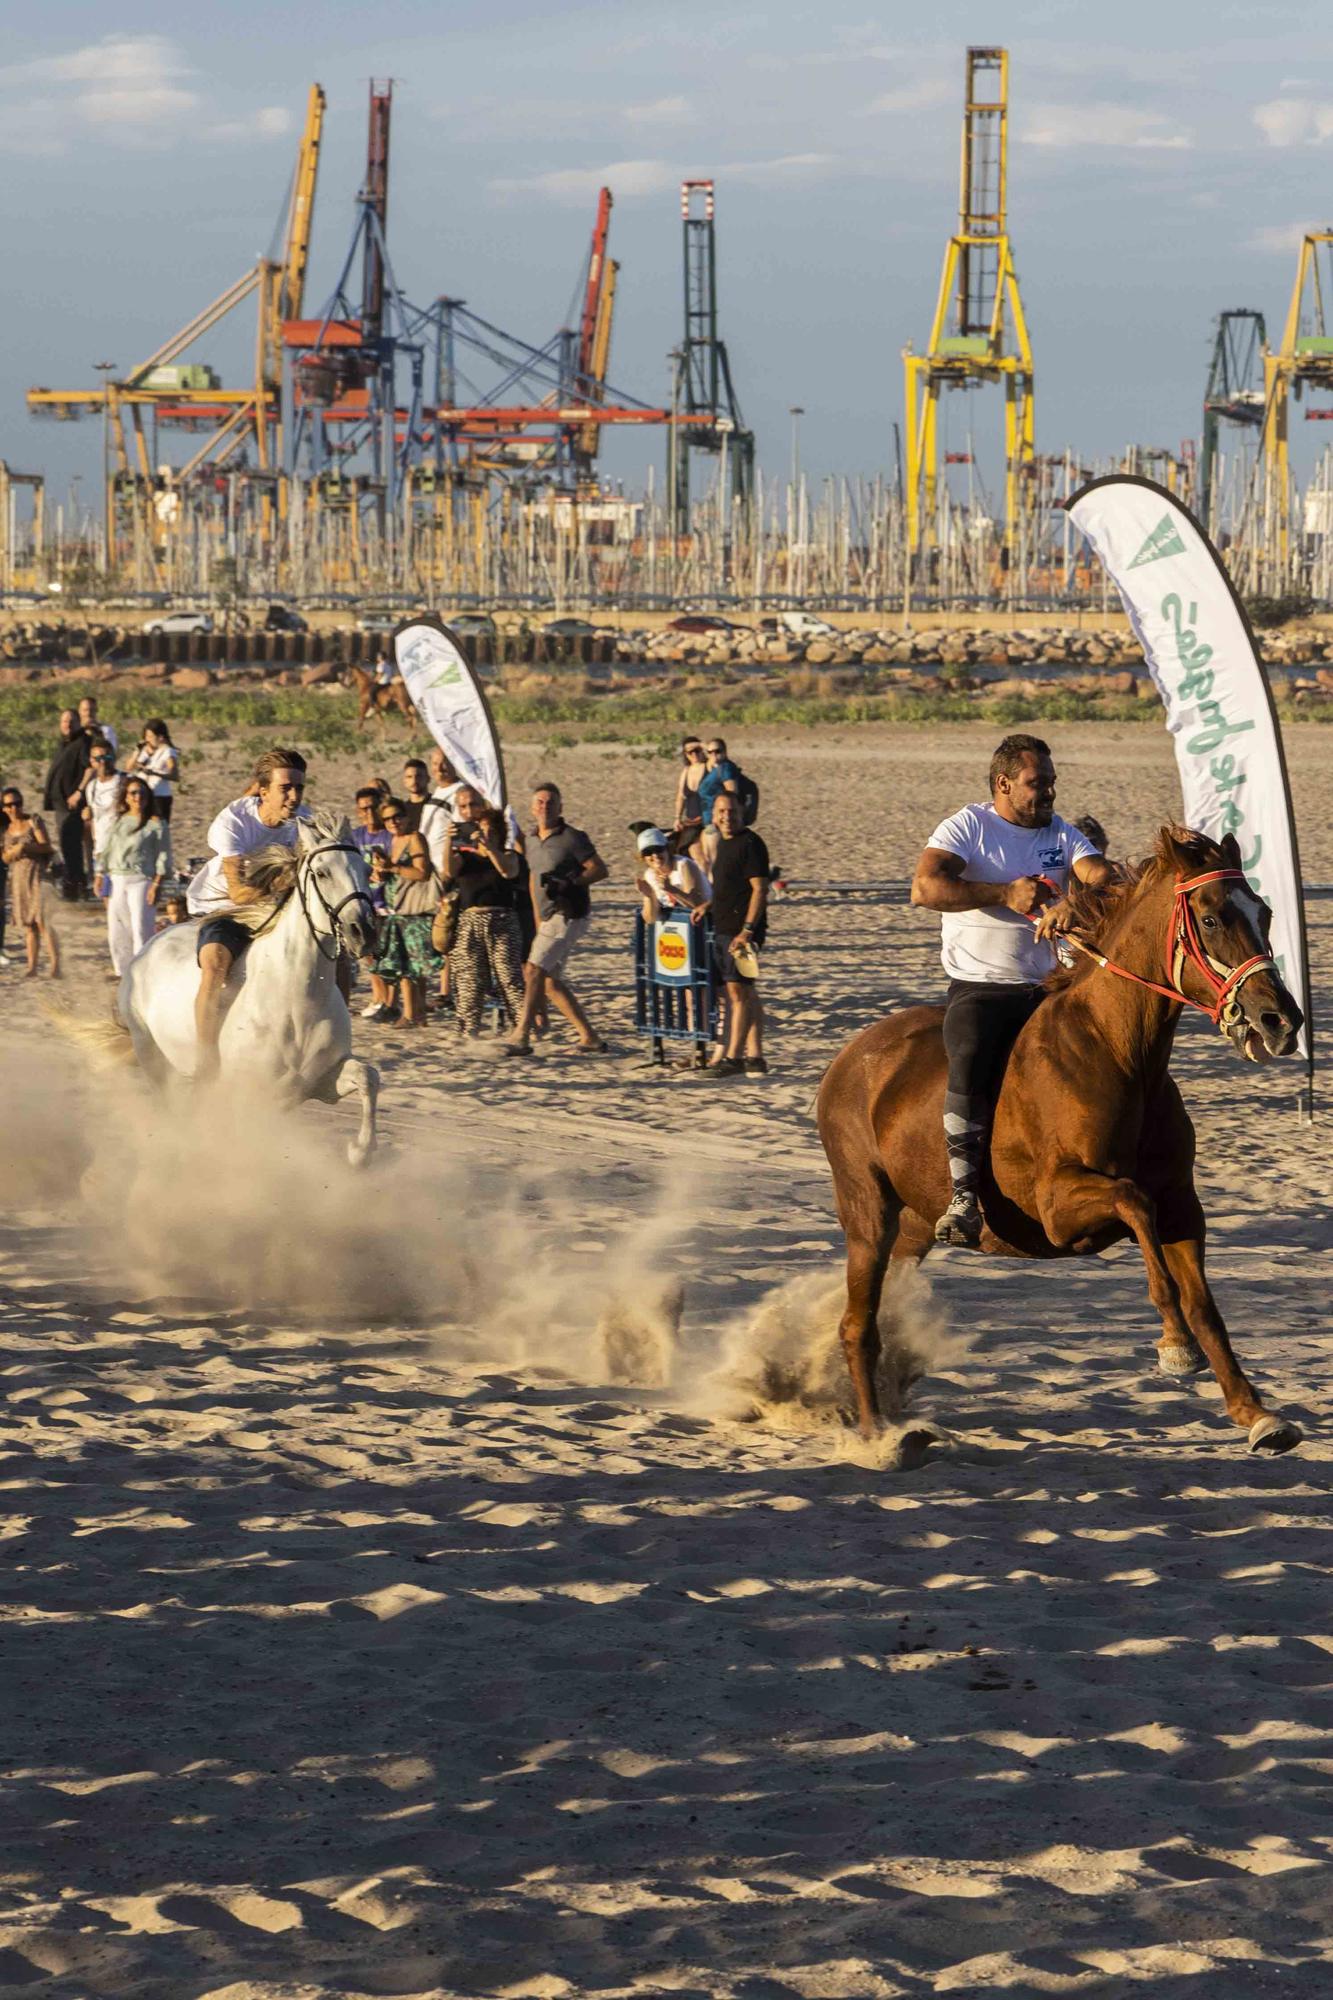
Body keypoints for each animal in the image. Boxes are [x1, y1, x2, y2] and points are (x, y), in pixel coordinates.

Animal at [118, 804, 378, 1168]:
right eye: (322, 872)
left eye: (367, 869)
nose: (363, 932)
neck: (297, 1001)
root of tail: (145, 949)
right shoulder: (251, 1095)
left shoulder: (319, 1081)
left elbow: (369, 1077)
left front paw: (359, 1152)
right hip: (154, 1059)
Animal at [816, 828, 1304, 1456]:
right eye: (1211, 918)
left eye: (1264, 913)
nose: (1280, 1022)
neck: (1117, 1052)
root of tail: (851, 1058)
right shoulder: (1058, 1208)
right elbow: (1134, 1204)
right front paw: (1175, 1345)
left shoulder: (1180, 1205)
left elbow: (1203, 1304)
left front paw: (1255, 1412)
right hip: (868, 1213)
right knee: (857, 1324)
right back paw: (880, 1436)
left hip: (913, 1229)